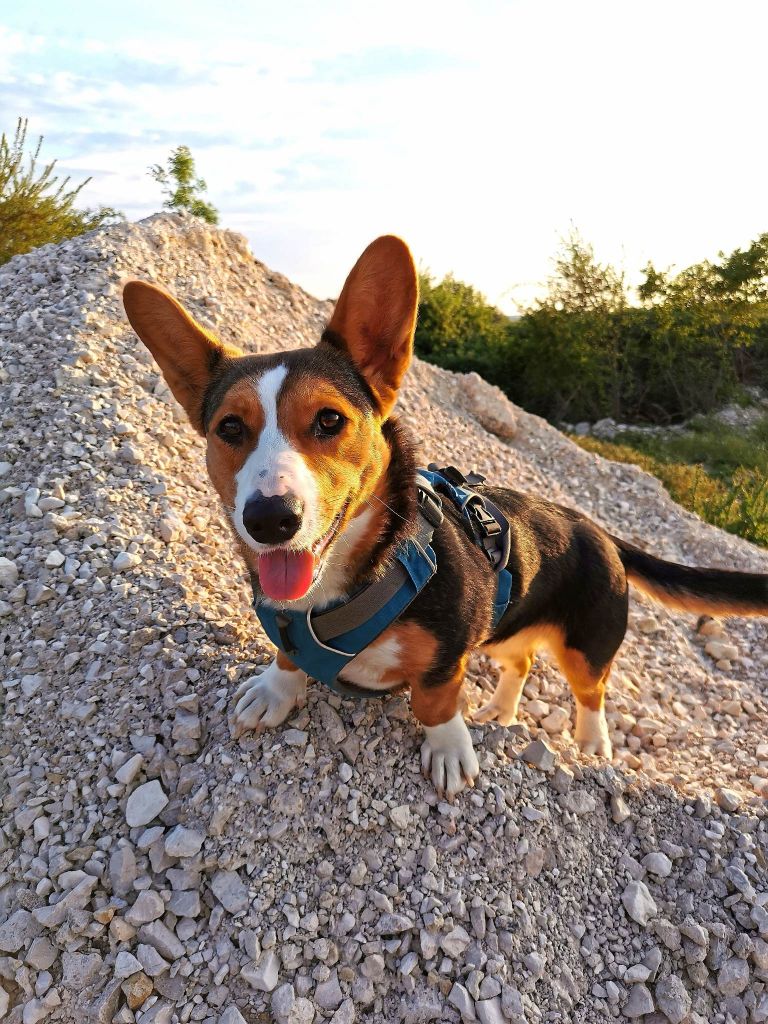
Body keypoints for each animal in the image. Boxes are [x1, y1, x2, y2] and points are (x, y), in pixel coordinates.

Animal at [121, 234, 768, 798]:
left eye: (329, 420)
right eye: (230, 428)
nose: (270, 519)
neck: (344, 587)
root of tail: (597, 529)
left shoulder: (449, 656)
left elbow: (434, 700)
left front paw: (449, 750)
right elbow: (287, 657)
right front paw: (276, 690)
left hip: (587, 646)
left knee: (591, 693)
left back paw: (590, 748)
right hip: (507, 629)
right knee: (521, 662)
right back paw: (499, 713)